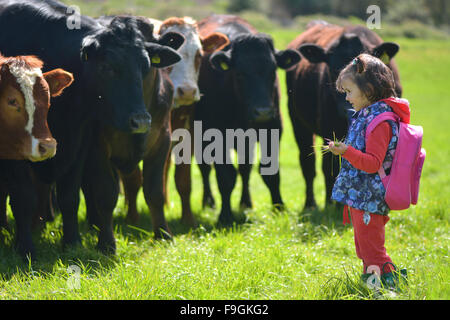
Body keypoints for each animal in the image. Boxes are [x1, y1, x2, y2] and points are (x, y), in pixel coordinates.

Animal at [119, 16, 229, 228]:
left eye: (199, 55)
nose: (187, 91)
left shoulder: (185, 138)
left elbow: (183, 180)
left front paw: (188, 219)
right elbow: (133, 179)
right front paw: (132, 219)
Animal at [192, 14, 300, 225]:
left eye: (272, 71)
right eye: (240, 73)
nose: (263, 112)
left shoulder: (273, 129)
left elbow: (270, 172)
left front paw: (279, 208)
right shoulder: (217, 135)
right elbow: (226, 176)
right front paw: (225, 215)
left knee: (245, 168)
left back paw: (246, 203)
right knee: (205, 168)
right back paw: (209, 202)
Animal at [286, 21, 402, 209]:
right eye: (332, 69)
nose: (345, 108)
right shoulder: (328, 128)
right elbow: (329, 167)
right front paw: (331, 204)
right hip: (298, 121)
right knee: (308, 163)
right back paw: (311, 204)